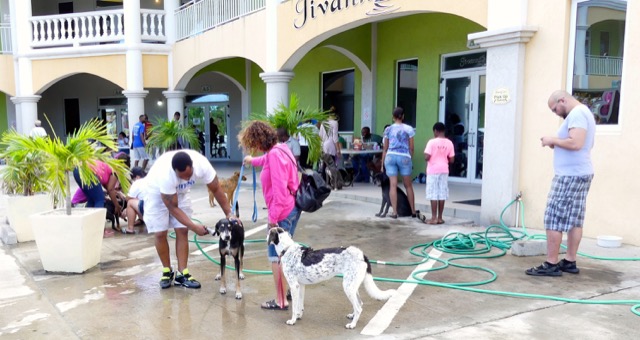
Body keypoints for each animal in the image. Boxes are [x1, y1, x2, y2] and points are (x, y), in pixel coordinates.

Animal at [266, 227, 396, 328]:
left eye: (269, 232)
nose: (266, 236)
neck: (287, 248)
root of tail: (362, 255)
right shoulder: (301, 286)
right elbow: (300, 306)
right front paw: (298, 316)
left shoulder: (294, 286)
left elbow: (294, 307)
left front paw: (292, 321)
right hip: (352, 286)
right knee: (360, 303)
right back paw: (352, 316)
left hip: (348, 287)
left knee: (359, 307)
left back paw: (352, 325)